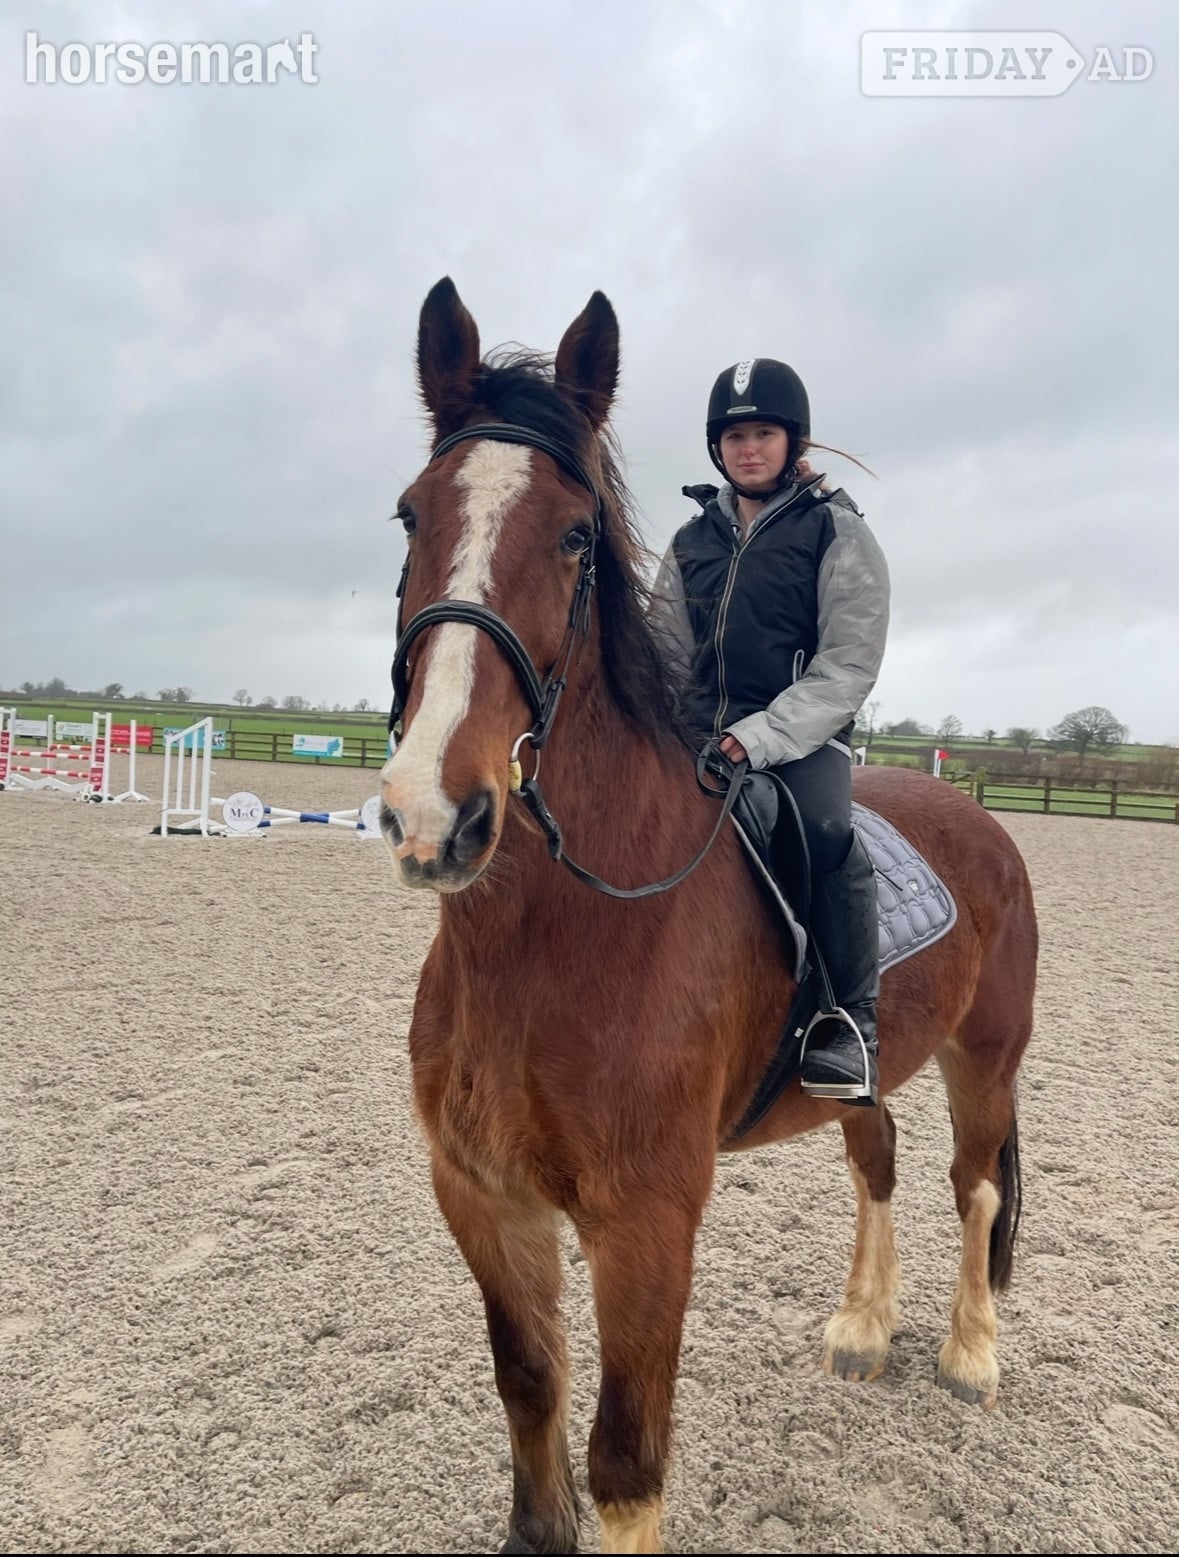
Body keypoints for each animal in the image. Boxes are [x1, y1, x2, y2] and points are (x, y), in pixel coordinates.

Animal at [378, 277, 1037, 1555]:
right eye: (408, 515)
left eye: (575, 536)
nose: (436, 813)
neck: (557, 940)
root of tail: (974, 815)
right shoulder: (483, 1199)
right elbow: (529, 1394)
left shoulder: (646, 1222)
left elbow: (627, 1464)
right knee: (878, 1157)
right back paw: (861, 1332)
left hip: (986, 1057)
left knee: (972, 1183)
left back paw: (971, 1357)